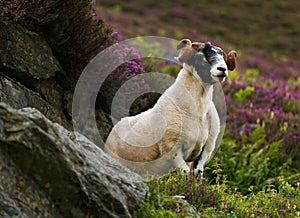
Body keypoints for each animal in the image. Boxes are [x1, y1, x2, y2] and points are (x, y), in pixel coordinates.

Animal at [104, 39, 238, 179]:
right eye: (200, 57)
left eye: (222, 56)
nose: (222, 69)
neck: (198, 111)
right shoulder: (173, 150)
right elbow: (185, 173)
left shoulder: (205, 150)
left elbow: (197, 174)